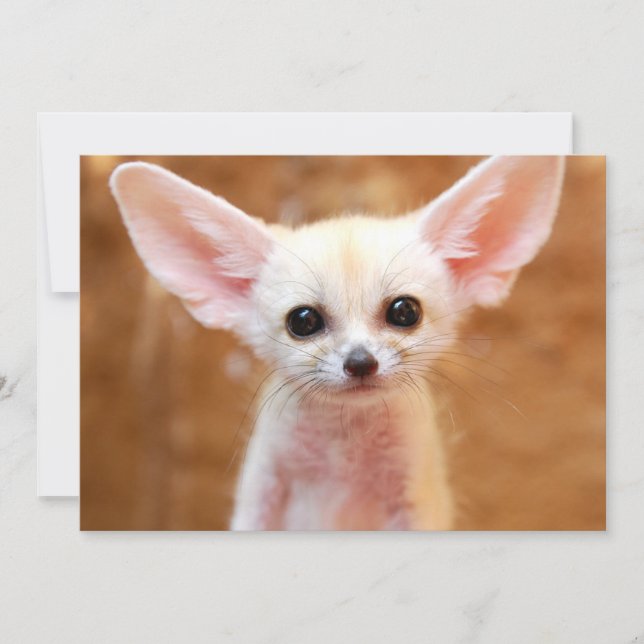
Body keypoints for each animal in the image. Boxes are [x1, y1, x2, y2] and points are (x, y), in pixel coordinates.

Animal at [110, 156, 564, 530]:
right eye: (303, 321)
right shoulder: (260, 494)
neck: (344, 449)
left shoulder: (417, 500)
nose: (360, 362)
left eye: (405, 312)